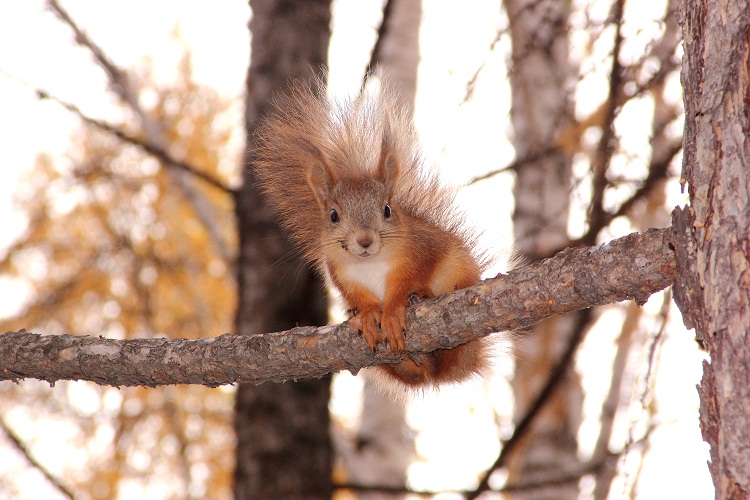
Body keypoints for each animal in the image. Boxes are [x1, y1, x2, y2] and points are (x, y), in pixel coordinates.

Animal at [256, 79, 494, 390]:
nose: (365, 240)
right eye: (333, 215)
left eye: (387, 210)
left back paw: (423, 298)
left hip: (460, 277)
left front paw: (393, 309)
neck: (370, 263)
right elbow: (360, 297)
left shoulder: (420, 252)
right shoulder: (343, 275)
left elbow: (407, 282)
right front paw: (368, 314)